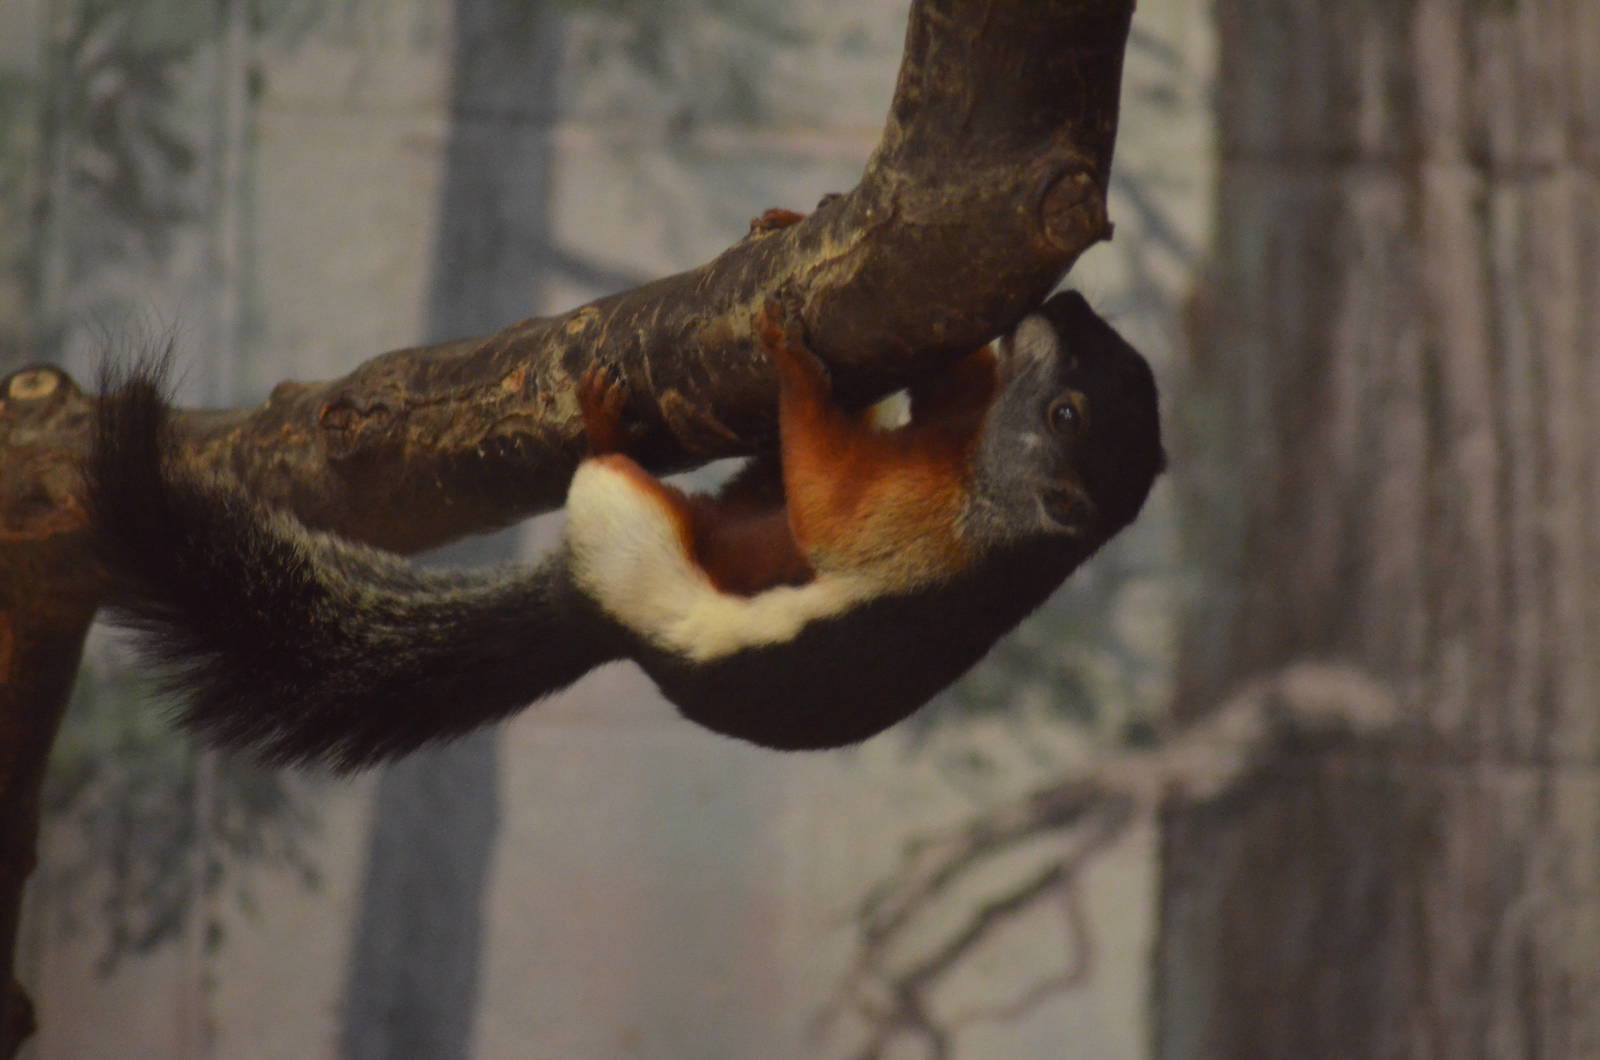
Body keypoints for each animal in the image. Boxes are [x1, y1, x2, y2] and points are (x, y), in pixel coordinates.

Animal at [86, 290, 1163, 772]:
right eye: (1115, 361)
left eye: (1068, 415)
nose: (1068, 298)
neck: (998, 498)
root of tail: (588, 608)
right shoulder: (946, 436)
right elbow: (942, 391)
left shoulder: (915, 529)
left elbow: (833, 502)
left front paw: (790, 356)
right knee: (761, 496)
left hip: (623, 524)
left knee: (620, 475)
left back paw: (607, 421)